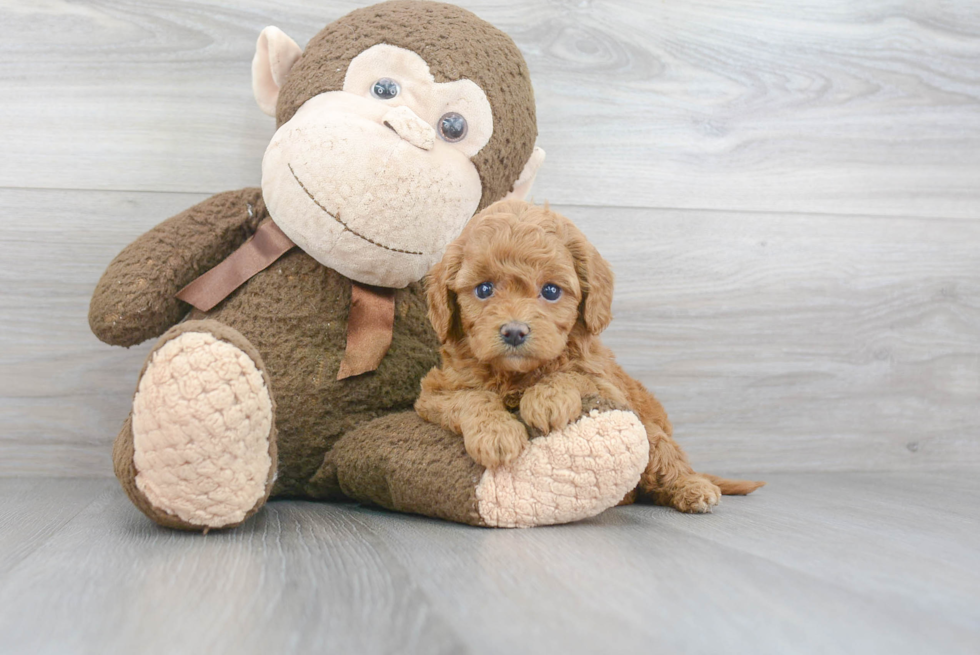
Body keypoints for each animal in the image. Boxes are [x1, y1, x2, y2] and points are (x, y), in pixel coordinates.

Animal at [416, 200, 764, 512]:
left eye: (551, 291)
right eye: (484, 290)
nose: (514, 331)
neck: (517, 375)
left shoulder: (608, 386)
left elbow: (572, 374)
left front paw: (547, 400)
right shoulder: (434, 393)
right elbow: (471, 397)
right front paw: (496, 434)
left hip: (652, 431)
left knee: (669, 464)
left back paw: (693, 488)